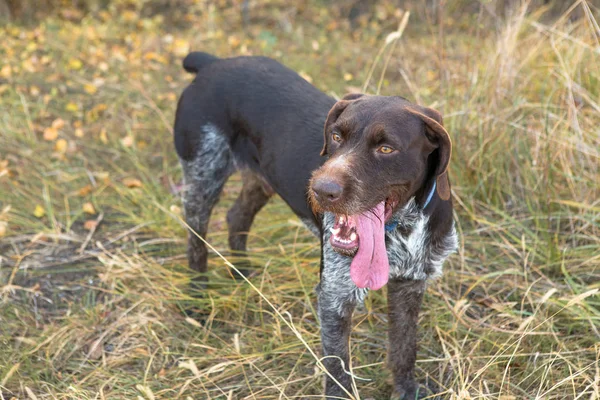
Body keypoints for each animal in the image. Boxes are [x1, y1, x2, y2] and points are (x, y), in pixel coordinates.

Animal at [175, 51, 460, 398]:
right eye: (336, 136)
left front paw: (406, 389)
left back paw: (243, 273)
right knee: (196, 240)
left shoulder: (410, 285)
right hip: (203, 176)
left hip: (261, 180)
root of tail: (212, 62)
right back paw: (197, 298)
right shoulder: (334, 298)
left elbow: (405, 347)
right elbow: (338, 371)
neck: (401, 228)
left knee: (237, 216)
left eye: (386, 148)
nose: (322, 190)